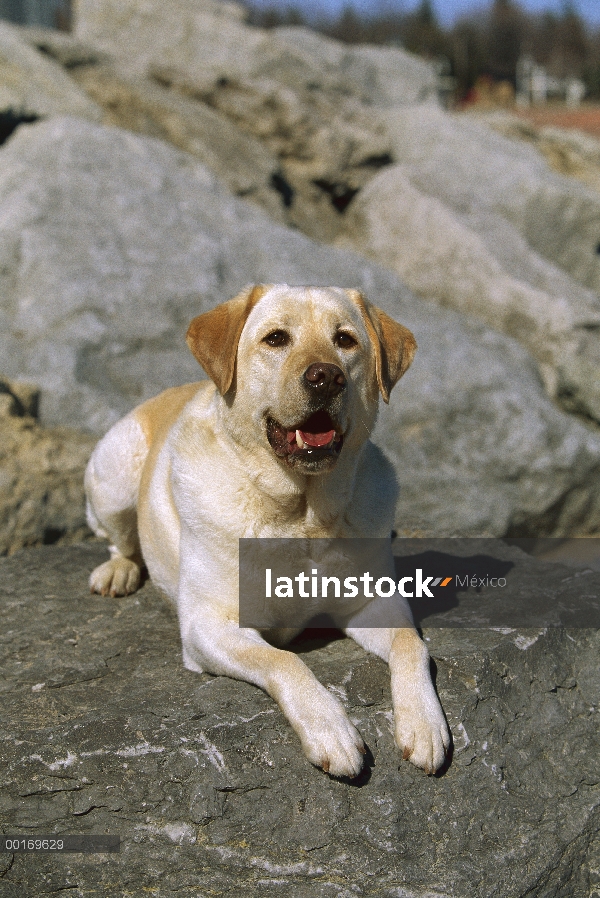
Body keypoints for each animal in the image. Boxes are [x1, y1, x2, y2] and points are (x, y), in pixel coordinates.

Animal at [85, 284, 450, 772]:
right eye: (276, 338)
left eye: (345, 340)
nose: (326, 377)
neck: (302, 515)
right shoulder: (209, 625)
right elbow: (283, 661)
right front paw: (330, 729)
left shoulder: (371, 602)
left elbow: (413, 644)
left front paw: (424, 724)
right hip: (114, 473)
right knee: (118, 540)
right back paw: (118, 571)